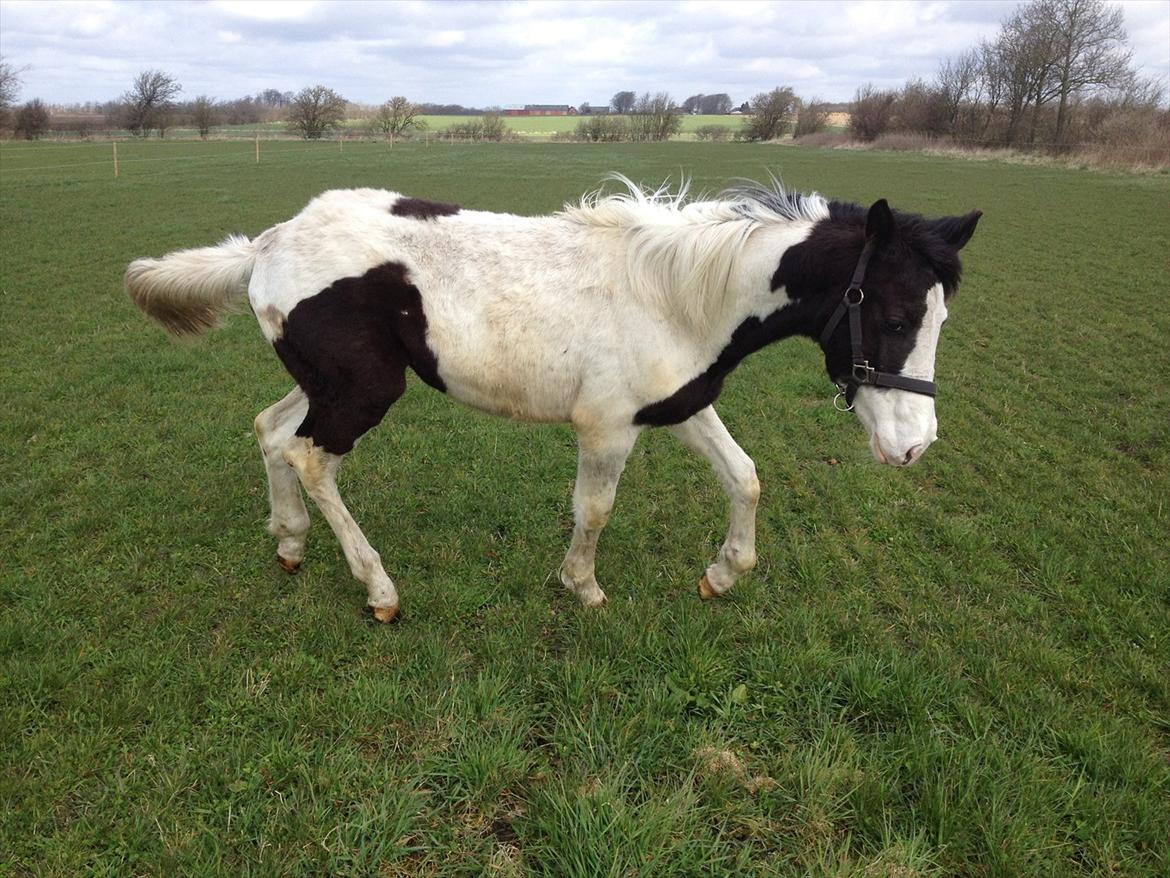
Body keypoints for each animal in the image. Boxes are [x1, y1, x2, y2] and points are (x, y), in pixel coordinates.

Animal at [128, 175, 982, 622]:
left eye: (941, 318)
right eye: (895, 316)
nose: (912, 446)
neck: (674, 296)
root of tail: (267, 243)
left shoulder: (680, 407)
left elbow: (744, 477)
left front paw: (722, 575)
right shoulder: (607, 428)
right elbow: (594, 510)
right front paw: (583, 587)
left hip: (326, 382)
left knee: (272, 431)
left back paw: (290, 544)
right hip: (365, 390)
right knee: (311, 458)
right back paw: (379, 589)